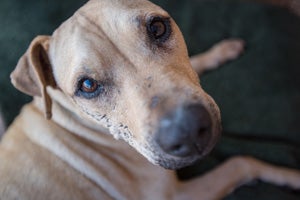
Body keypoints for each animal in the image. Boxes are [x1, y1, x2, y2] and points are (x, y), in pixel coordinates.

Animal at [0, 0, 300, 199]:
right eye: (87, 85)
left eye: (157, 28)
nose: (188, 131)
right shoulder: (177, 196)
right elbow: (242, 163)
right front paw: (291, 177)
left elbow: (194, 62)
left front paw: (220, 51)